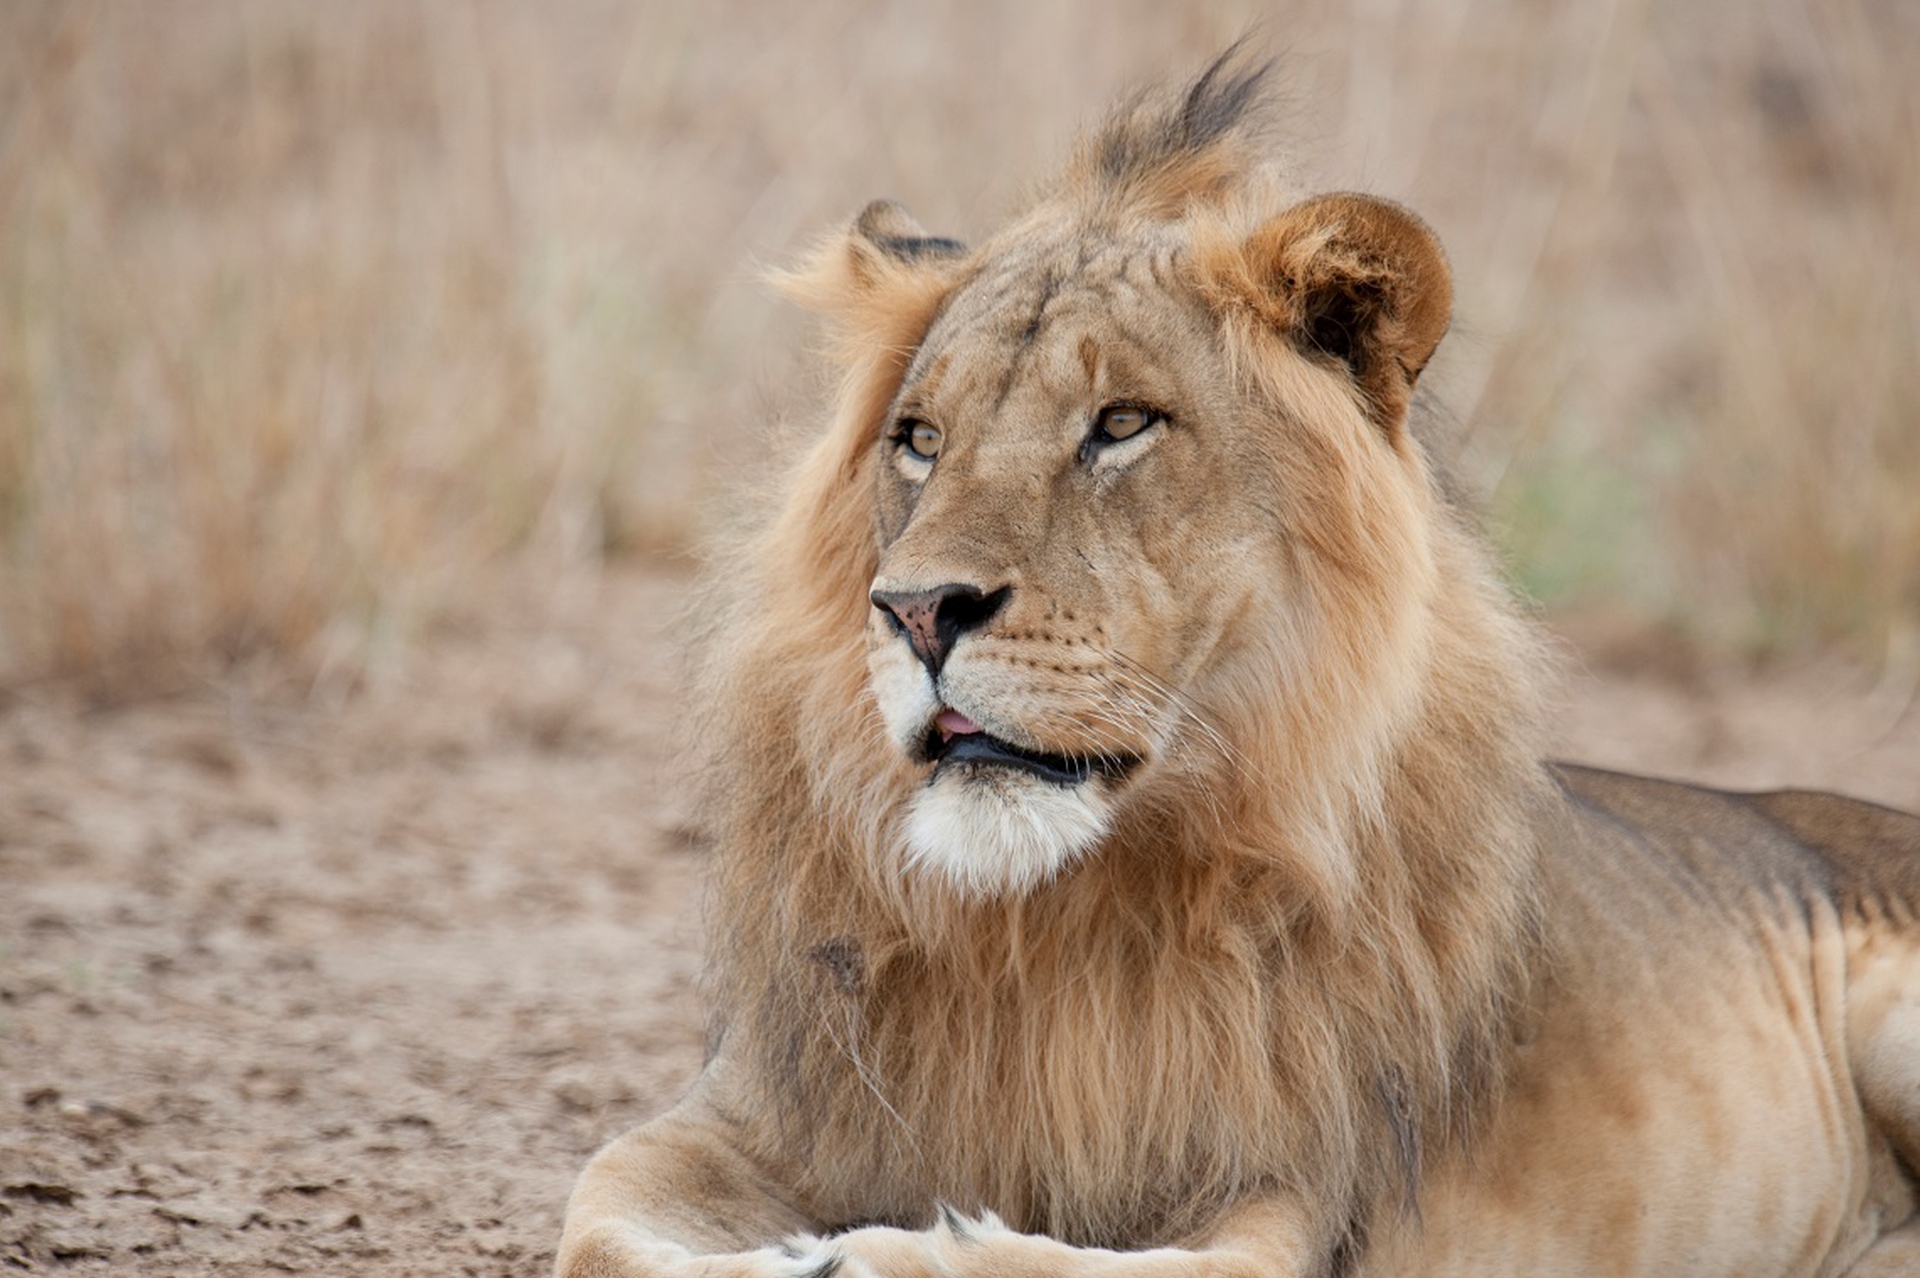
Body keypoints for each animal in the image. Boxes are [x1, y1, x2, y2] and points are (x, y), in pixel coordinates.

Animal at [557, 51, 1920, 1278]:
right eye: (921, 440)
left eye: (1120, 425)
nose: (916, 611)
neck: (1054, 920)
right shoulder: (751, 1108)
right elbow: (598, 1220)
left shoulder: (1291, 1196)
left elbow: (1037, 1263)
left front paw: (873, 1251)